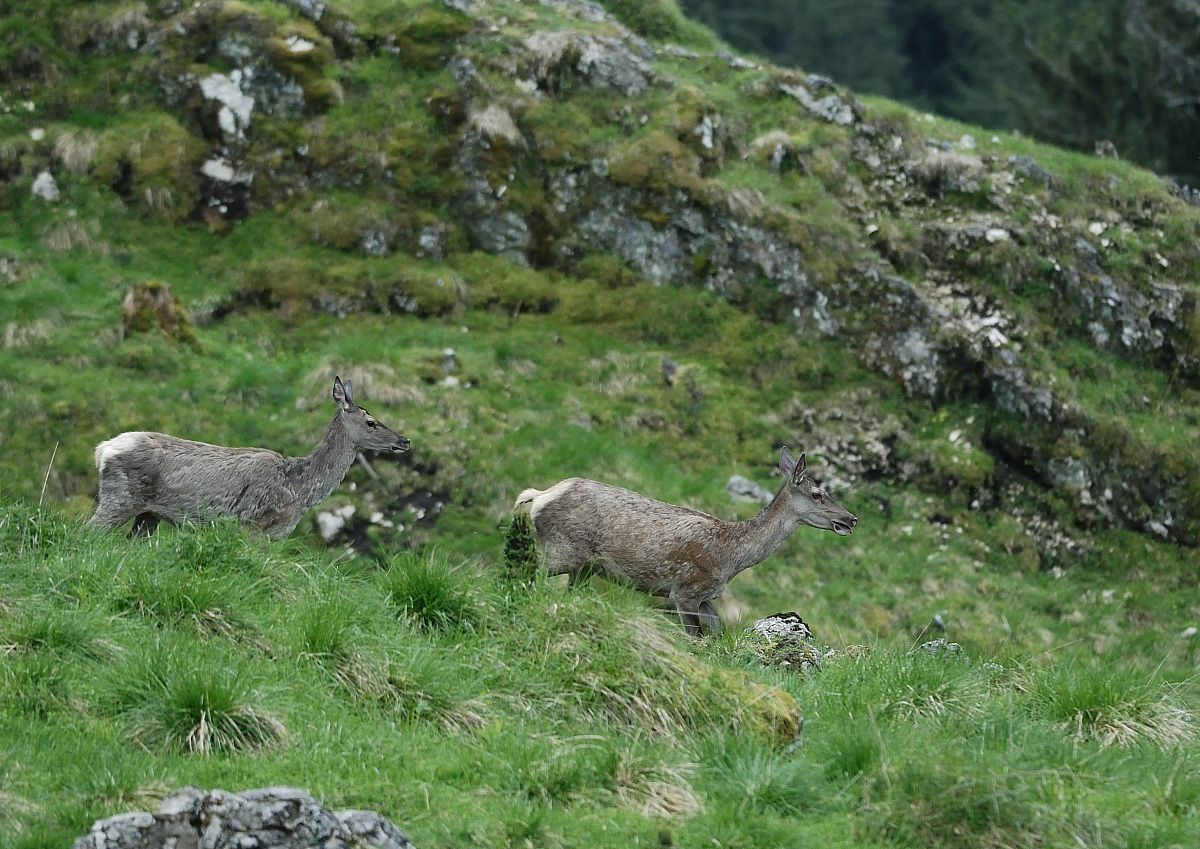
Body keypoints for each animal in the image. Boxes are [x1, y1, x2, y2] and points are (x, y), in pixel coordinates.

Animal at [87, 376, 409, 539]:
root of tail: (102, 450)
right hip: (120, 499)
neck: (301, 489)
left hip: (148, 515)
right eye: (371, 422)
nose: (404, 441)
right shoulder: (256, 525)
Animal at [513, 448, 857, 636]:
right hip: (561, 551)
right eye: (817, 493)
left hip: (583, 568)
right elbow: (696, 639)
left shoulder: (707, 598)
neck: (732, 557)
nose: (851, 519)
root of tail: (539, 496)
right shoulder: (685, 590)